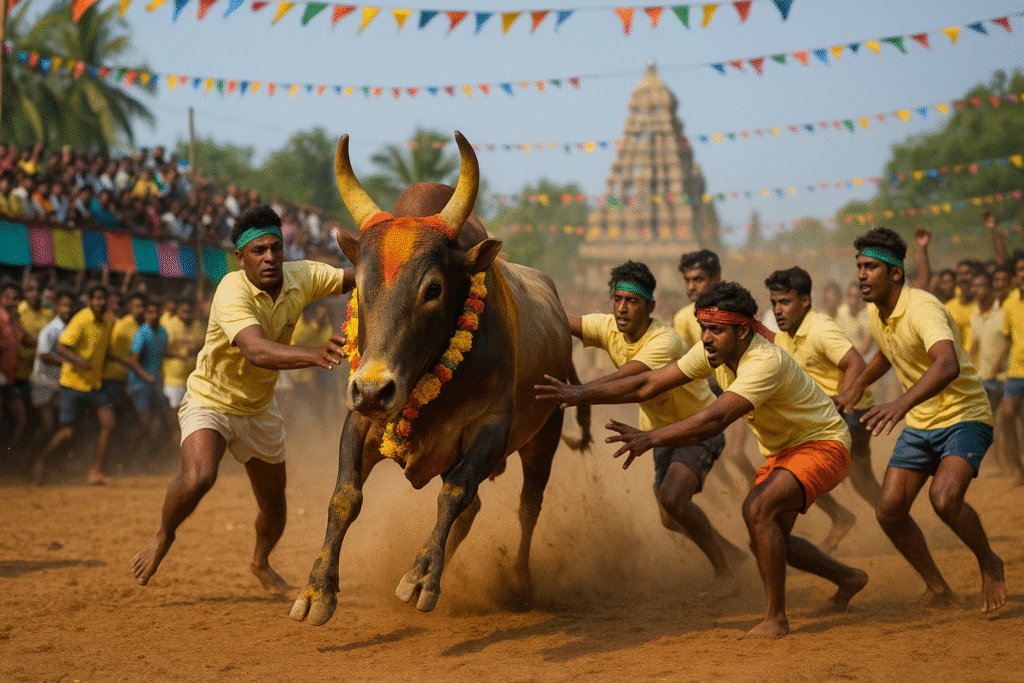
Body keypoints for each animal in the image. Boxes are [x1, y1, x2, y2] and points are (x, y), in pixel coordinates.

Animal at [289, 131, 591, 626]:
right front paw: (317, 591)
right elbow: (345, 497)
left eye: (433, 288)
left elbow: (453, 494)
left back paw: (515, 583)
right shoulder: (359, 420)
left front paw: (421, 579)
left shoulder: (490, 428)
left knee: (527, 506)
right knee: (476, 508)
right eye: (360, 286)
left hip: (544, 435)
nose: (373, 390)